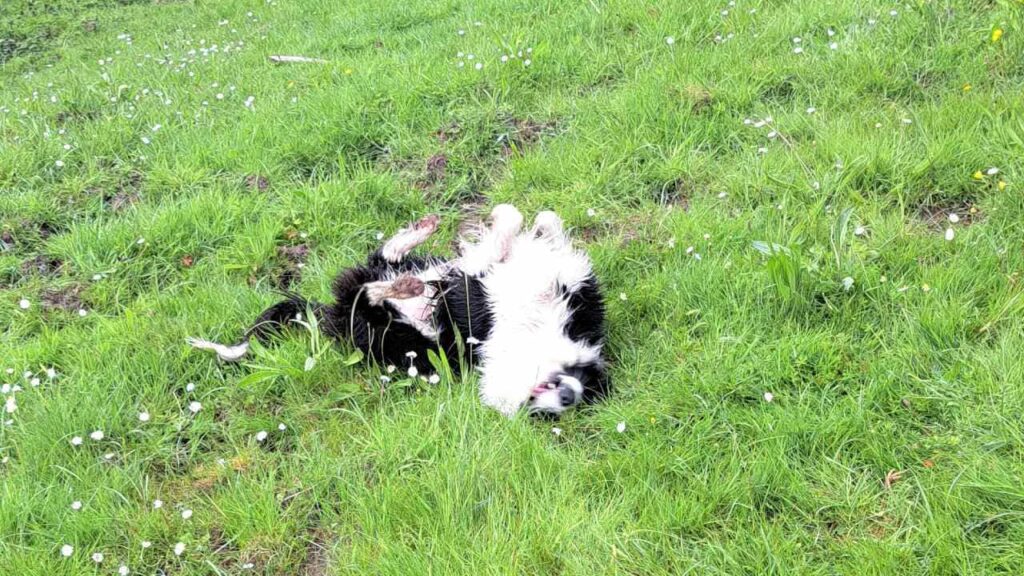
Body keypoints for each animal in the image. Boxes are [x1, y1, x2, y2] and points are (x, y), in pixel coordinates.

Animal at [188, 203, 606, 414]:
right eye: (582, 377)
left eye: (538, 413)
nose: (568, 399)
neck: (538, 332)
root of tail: (329, 316)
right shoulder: (529, 284)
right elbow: (536, 225)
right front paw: (515, 220)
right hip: (392, 288)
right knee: (382, 261)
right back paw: (421, 233)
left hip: (385, 330)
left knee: (366, 294)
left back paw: (403, 283)